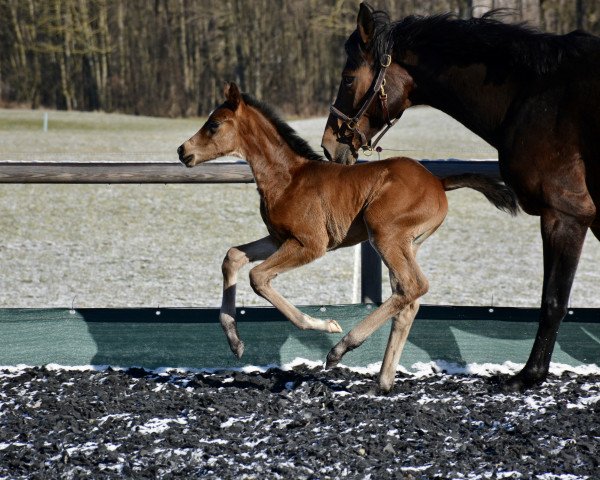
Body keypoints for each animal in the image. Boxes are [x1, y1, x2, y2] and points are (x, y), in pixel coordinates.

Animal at [177, 81, 516, 390]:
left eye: (214, 124)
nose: (183, 151)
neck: (287, 179)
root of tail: (438, 181)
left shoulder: (311, 244)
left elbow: (258, 277)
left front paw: (325, 324)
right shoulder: (278, 238)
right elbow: (233, 256)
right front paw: (235, 342)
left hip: (384, 235)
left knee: (412, 287)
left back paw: (340, 349)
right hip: (406, 244)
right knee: (408, 298)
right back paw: (383, 381)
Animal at [322, 2, 600, 390]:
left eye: (348, 78)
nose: (328, 145)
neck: (534, 94)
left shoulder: (566, 214)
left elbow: (553, 301)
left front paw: (529, 376)